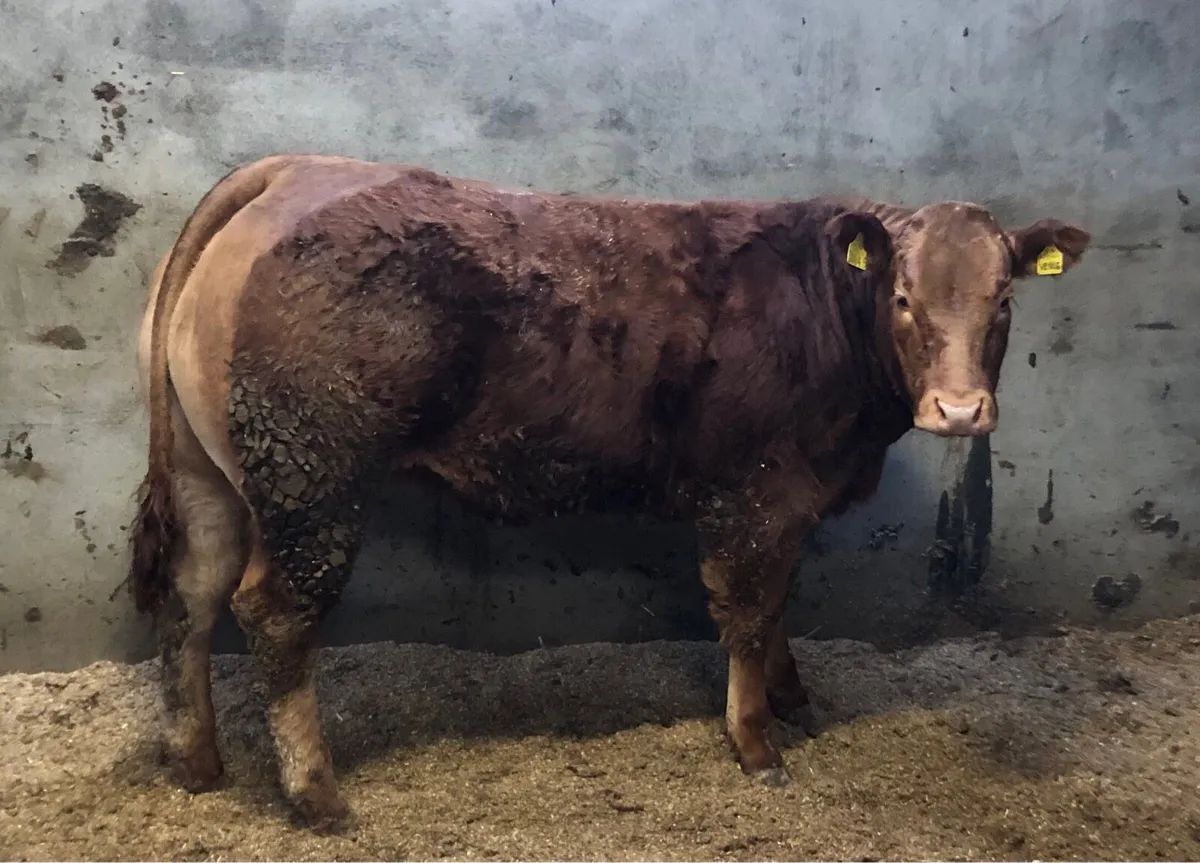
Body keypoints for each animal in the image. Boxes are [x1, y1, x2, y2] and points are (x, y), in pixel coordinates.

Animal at [128, 154, 1089, 827]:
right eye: (901, 297)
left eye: (1005, 302)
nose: (960, 409)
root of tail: (294, 170)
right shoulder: (757, 494)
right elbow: (748, 610)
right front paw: (756, 742)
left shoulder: (788, 504)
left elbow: (780, 603)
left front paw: (794, 698)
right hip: (314, 478)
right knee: (275, 614)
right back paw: (316, 794)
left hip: (213, 475)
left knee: (192, 594)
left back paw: (197, 758)